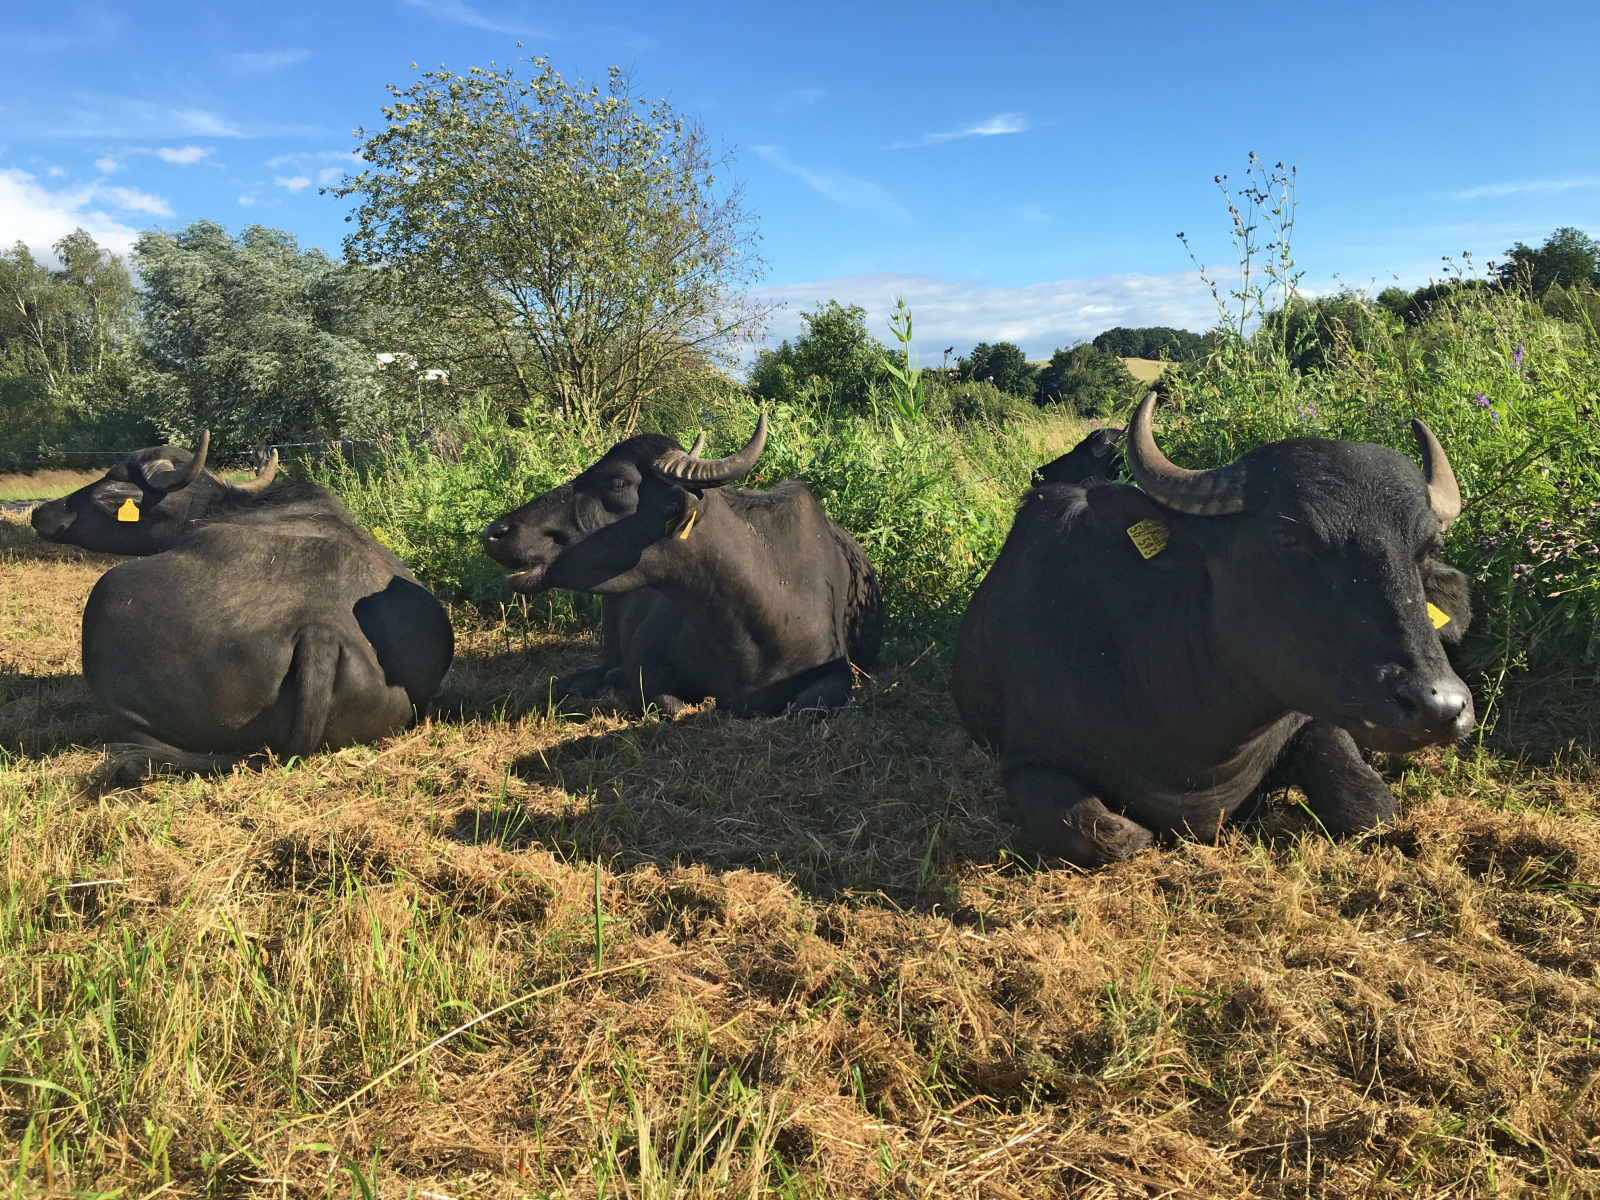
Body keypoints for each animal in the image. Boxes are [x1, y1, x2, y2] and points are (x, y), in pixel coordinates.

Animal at [480, 412, 883, 713]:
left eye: (617, 481)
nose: (496, 532)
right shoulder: (646, 662)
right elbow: (669, 704)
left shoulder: (837, 675)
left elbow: (806, 705)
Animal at [947, 400, 1472, 870]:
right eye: (1287, 537)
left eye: (1427, 548)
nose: (1439, 706)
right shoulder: (1026, 760)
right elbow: (1111, 834)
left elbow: (1369, 805)